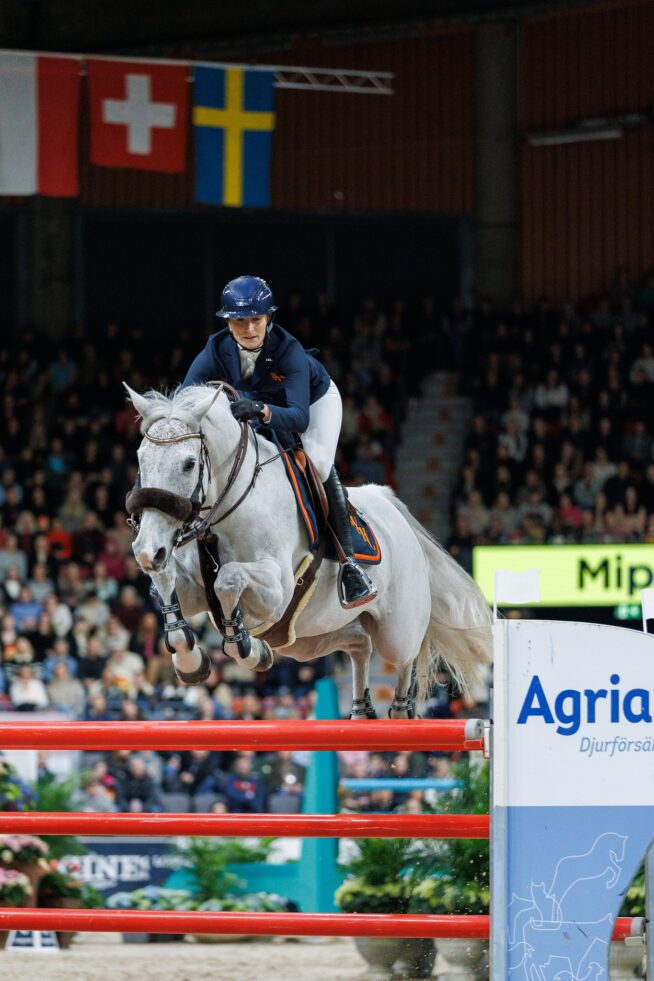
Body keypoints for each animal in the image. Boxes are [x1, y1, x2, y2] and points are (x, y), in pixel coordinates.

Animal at [124, 384, 492, 720]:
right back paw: (360, 711)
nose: (146, 550)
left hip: (396, 632)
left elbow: (228, 579)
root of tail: (389, 503)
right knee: (359, 644)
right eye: (141, 459)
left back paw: (400, 713)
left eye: (188, 464)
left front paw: (245, 646)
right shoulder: (194, 589)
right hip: (306, 638)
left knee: (403, 661)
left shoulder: (277, 591)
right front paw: (192, 661)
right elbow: (168, 585)